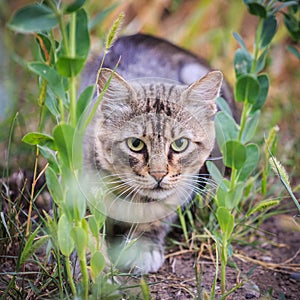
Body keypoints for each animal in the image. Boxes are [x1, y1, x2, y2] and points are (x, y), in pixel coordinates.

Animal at [82, 33, 234, 274]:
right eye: (135, 144)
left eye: (180, 144)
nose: (159, 174)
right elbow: (84, 232)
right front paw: (93, 267)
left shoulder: (180, 189)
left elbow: (157, 217)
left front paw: (141, 245)